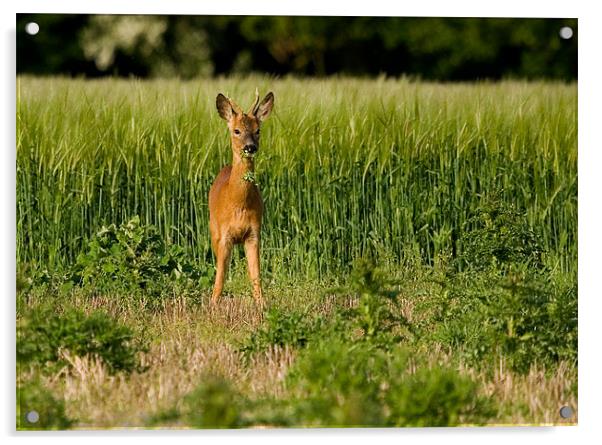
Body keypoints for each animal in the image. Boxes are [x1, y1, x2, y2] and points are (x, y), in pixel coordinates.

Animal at [206, 90, 272, 306]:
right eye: (236, 131)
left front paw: (262, 305)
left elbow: (256, 275)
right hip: (213, 229)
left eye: (258, 130)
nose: (250, 147)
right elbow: (220, 276)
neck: (238, 204)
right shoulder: (224, 236)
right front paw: (213, 304)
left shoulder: (253, 234)